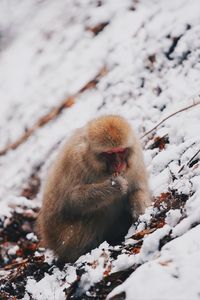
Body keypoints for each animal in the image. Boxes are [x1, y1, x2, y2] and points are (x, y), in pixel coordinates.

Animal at [36, 115, 151, 262]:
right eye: (109, 153)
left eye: (120, 151)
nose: (118, 163)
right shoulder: (75, 160)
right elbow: (71, 200)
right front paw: (115, 186)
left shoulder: (135, 158)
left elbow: (138, 188)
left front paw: (140, 210)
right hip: (64, 238)